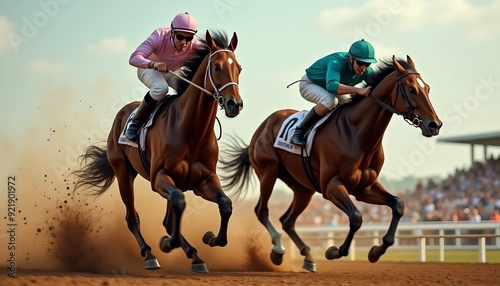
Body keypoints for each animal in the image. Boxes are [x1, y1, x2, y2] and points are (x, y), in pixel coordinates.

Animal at [71, 30, 242, 272]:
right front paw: (168, 243)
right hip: (123, 173)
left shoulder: (203, 180)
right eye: (217, 67)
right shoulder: (159, 177)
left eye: (239, 68)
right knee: (132, 217)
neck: (192, 131)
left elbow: (225, 204)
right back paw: (150, 255)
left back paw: (194, 255)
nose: (234, 104)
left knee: (168, 219)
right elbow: (179, 201)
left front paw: (210, 238)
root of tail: (121, 115)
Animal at [219, 54, 442, 272]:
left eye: (428, 88)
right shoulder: (331, 185)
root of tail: (261, 128)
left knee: (287, 220)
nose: (435, 125)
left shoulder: (365, 187)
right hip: (269, 172)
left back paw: (308, 257)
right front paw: (334, 251)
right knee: (262, 210)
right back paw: (278, 249)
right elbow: (356, 217)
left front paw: (377, 250)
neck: (357, 133)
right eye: (412, 89)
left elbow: (398, 205)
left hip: (303, 188)